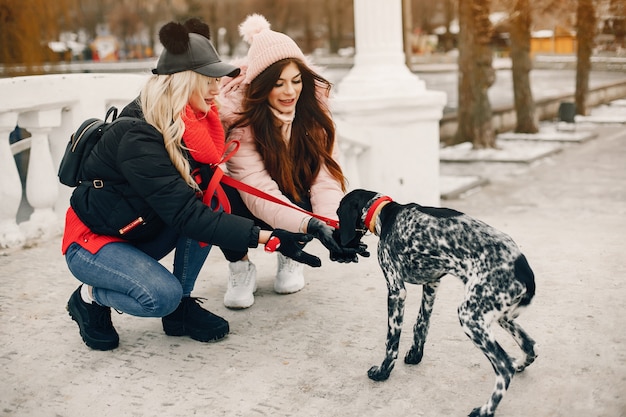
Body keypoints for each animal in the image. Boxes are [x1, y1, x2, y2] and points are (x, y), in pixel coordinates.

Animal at [336, 189, 536, 416]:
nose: (337, 238)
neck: (385, 212)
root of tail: (523, 268)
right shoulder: (432, 283)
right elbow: (421, 324)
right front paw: (415, 355)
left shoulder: (396, 290)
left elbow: (391, 341)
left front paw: (383, 371)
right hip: (497, 313)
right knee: (529, 345)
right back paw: (520, 364)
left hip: (470, 316)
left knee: (504, 366)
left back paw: (485, 409)